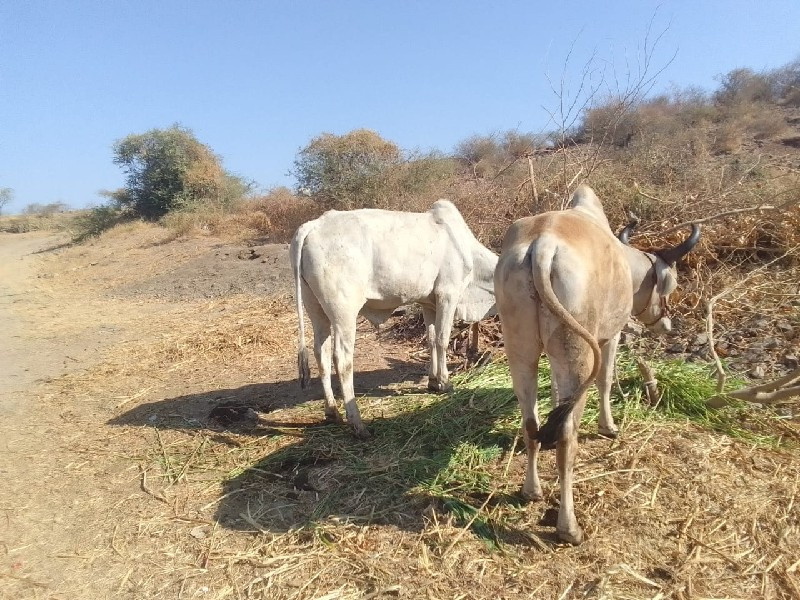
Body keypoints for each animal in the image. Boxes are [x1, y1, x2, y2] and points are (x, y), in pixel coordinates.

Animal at [290, 202, 496, 436]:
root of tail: (313, 225)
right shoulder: (448, 294)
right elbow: (442, 340)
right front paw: (445, 382)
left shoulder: (429, 303)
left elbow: (431, 340)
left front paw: (433, 382)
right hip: (344, 312)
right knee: (341, 359)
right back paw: (358, 424)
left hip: (315, 309)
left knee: (321, 354)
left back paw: (332, 412)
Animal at [494, 185, 700, 548]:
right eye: (672, 285)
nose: (668, 325)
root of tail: (542, 244)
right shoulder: (610, 337)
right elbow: (605, 382)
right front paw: (609, 426)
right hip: (580, 354)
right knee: (566, 438)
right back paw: (569, 527)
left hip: (522, 352)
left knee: (531, 422)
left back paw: (531, 490)